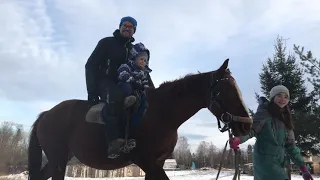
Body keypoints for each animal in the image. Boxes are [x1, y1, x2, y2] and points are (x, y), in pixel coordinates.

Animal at [27, 59, 252, 180]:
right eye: (225, 92)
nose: (246, 125)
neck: (162, 113)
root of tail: (47, 114)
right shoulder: (147, 161)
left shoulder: (157, 163)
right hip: (58, 160)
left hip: (57, 159)